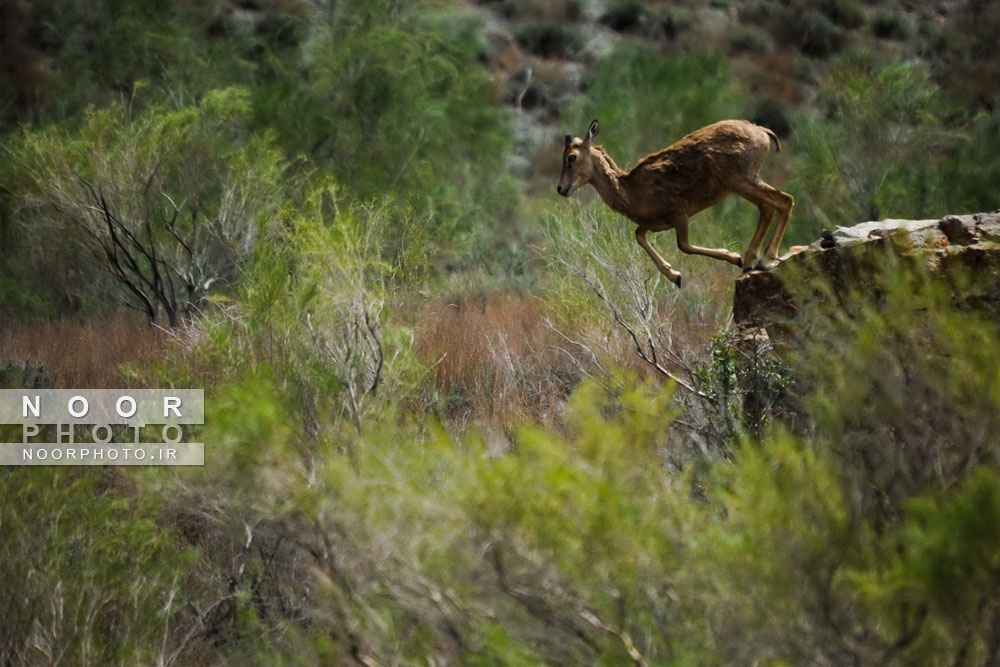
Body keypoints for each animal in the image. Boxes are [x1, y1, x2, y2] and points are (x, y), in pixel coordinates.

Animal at [560, 120, 792, 288]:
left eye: (572, 157)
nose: (561, 188)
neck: (631, 190)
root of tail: (762, 132)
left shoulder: (679, 212)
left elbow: (684, 245)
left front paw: (733, 257)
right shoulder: (655, 223)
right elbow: (639, 236)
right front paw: (674, 275)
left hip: (742, 181)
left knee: (783, 201)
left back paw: (762, 259)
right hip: (747, 182)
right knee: (770, 206)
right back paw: (754, 259)